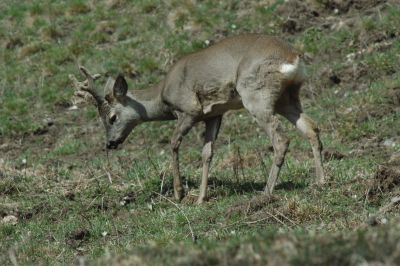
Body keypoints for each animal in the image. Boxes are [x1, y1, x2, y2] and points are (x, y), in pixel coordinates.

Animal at [69, 33, 324, 204]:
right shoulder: (214, 114)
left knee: (281, 139)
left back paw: (266, 192)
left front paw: (179, 193)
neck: (163, 96)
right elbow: (207, 153)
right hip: (286, 98)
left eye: (112, 117)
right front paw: (201, 198)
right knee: (312, 128)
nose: (110, 143)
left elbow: (174, 143)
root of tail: (293, 57)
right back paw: (321, 181)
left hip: (256, 94)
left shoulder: (189, 109)